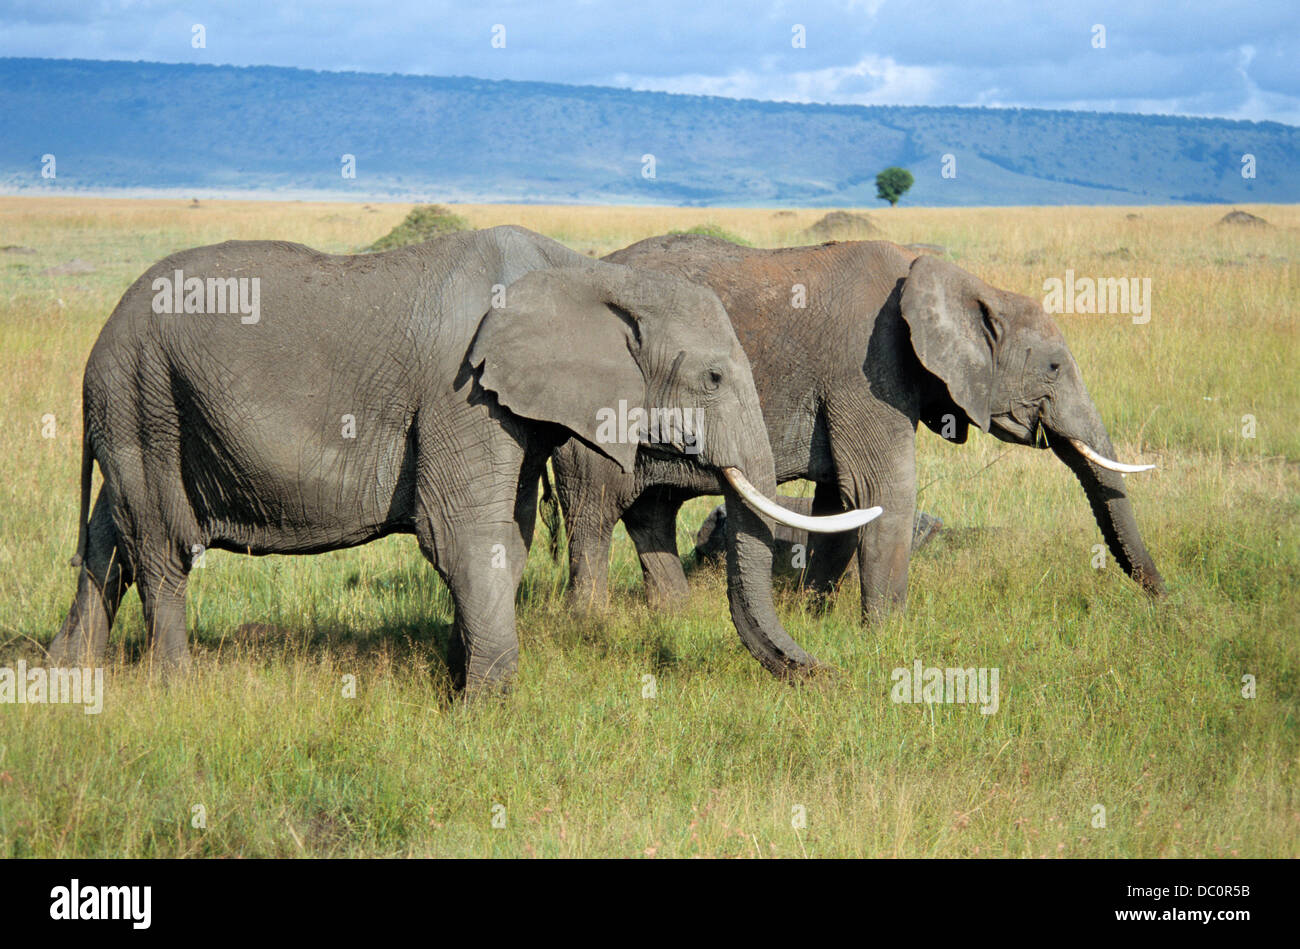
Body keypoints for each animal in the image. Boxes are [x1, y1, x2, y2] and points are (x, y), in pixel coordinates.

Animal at [53, 224, 883, 686]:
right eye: (712, 377)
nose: (831, 675)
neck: (587, 271)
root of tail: (98, 338)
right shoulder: (463, 389)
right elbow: (464, 534)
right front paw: (489, 702)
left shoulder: (508, 404)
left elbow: (506, 538)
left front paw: (459, 675)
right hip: (143, 398)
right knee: (161, 547)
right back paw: (174, 685)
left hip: (136, 405)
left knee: (109, 538)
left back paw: (66, 673)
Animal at [551, 235, 1170, 616]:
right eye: (1054, 367)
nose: (1167, 604)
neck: (950, 278)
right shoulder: (867, 369)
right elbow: (882, 491)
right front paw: (889, 636)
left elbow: (839, 504)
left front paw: (817, 616)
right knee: (594, 509)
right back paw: (592, 621)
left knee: (649, 509)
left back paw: (672, 616)